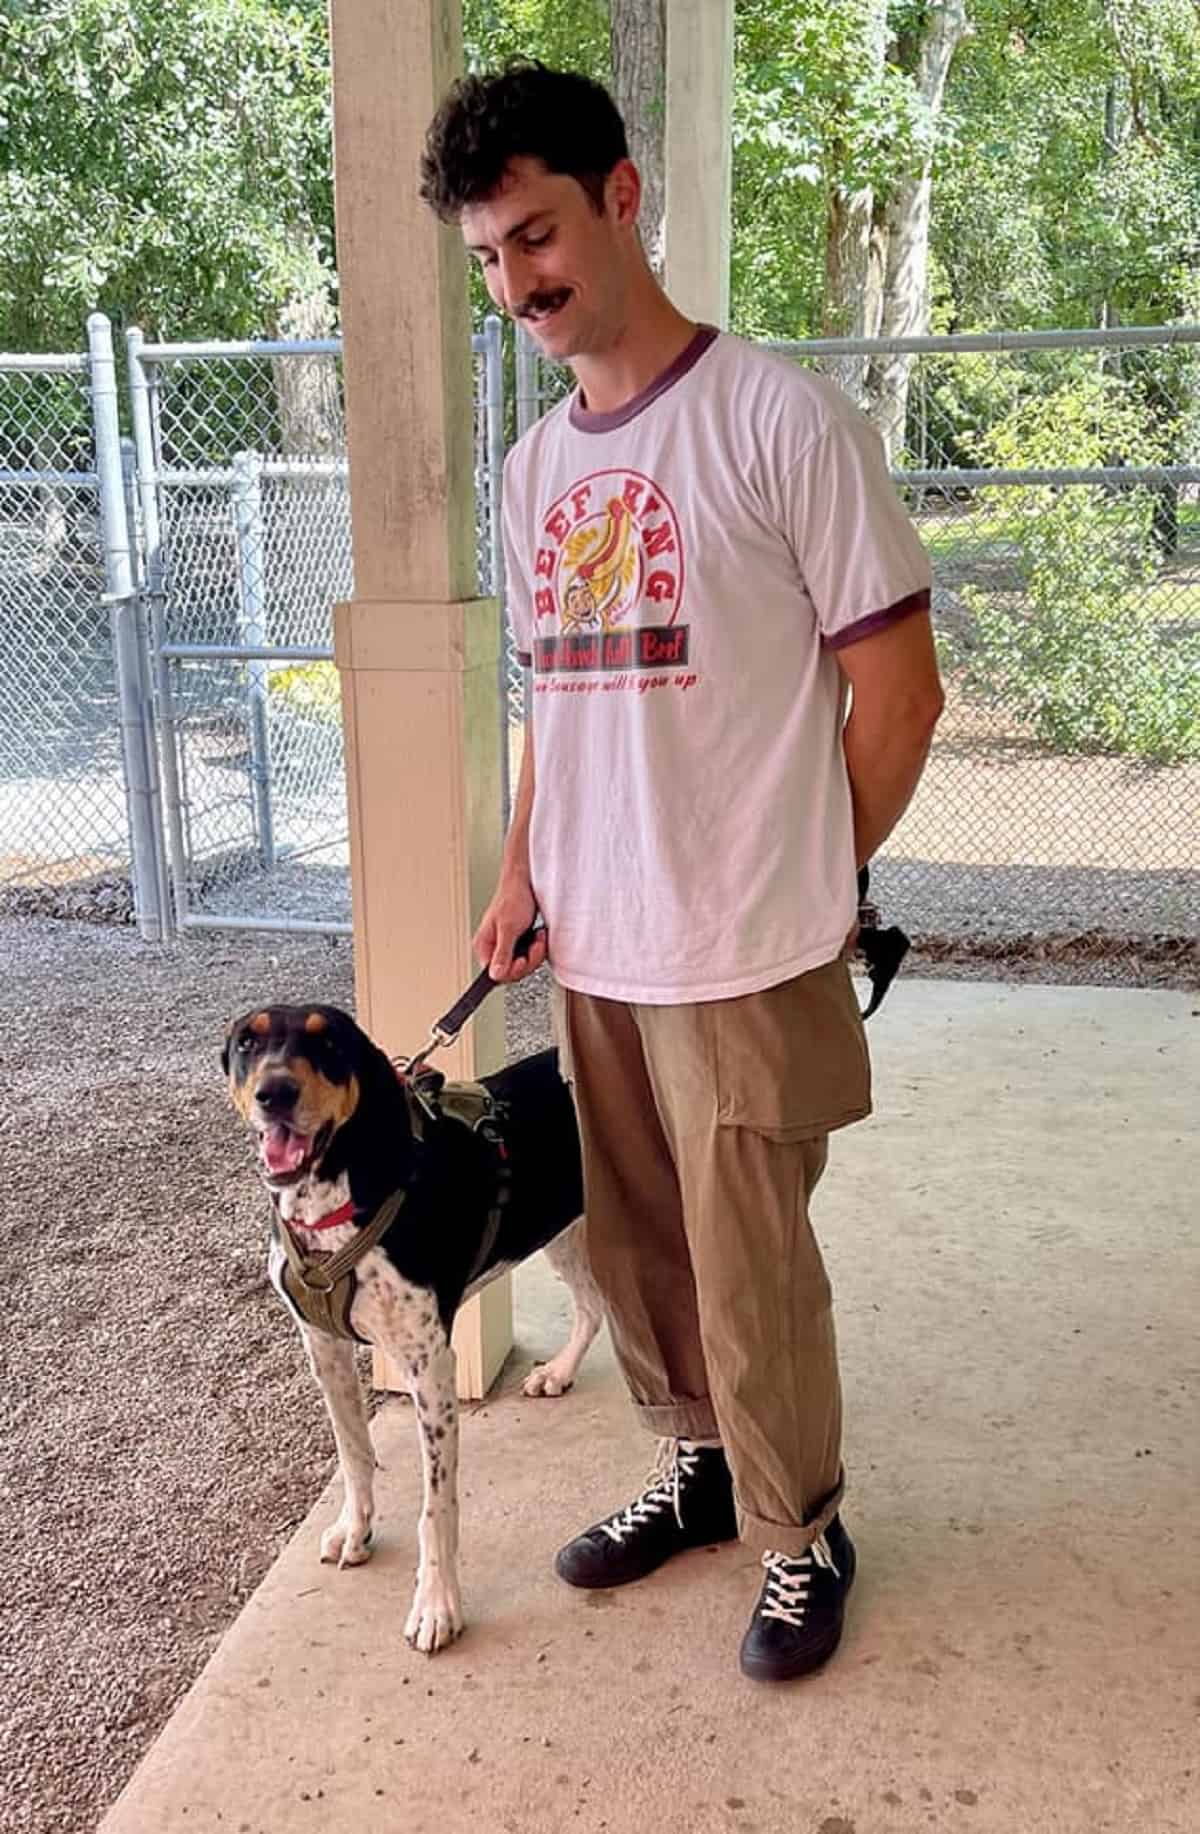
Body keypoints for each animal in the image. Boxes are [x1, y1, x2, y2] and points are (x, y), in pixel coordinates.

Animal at [218, 1012, 601, 1657]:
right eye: (248, 1041)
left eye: (327, 1041)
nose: (275, 1093)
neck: (331, 1204)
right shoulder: (324, 1348)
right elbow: (354, 1453)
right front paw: (355, 1530)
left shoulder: (431, 1367)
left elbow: (435, 1506)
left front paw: (437, 1605)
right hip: (563, 1230)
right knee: (594, 1308)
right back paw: (559, 1371)